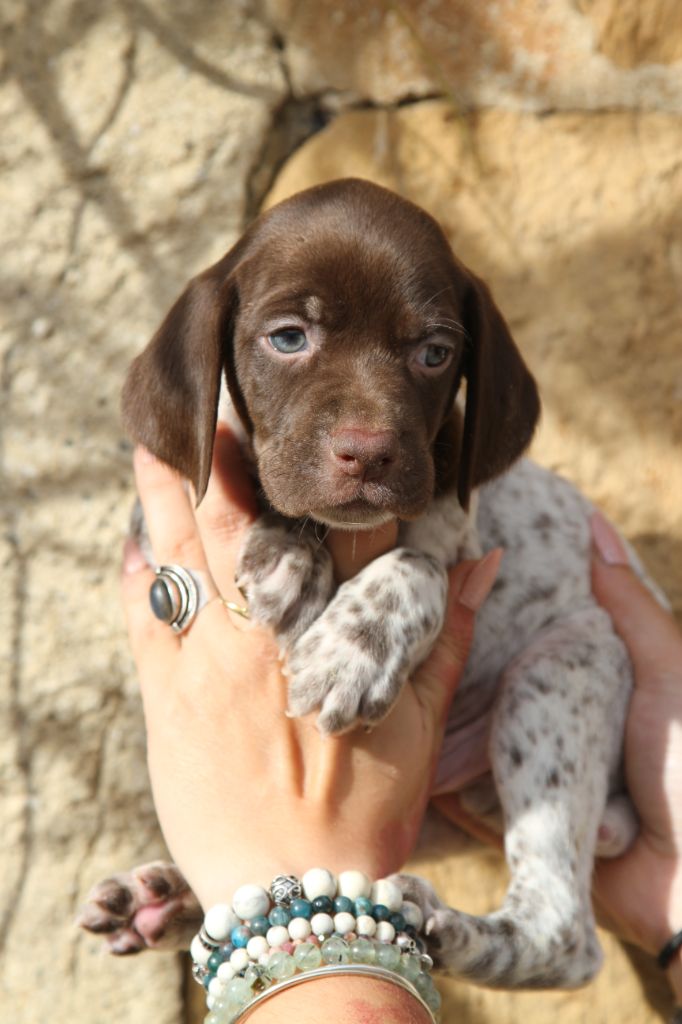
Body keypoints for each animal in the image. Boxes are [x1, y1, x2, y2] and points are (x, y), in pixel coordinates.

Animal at [79, 178, 638, 991]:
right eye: (288, 338)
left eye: (435, 353)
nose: (368, 454)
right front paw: (289, 555)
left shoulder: (460, 522)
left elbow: (419, 567)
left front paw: (352, 648)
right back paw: (164, 901)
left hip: (561, 674)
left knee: (563, 933)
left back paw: (444, 928)